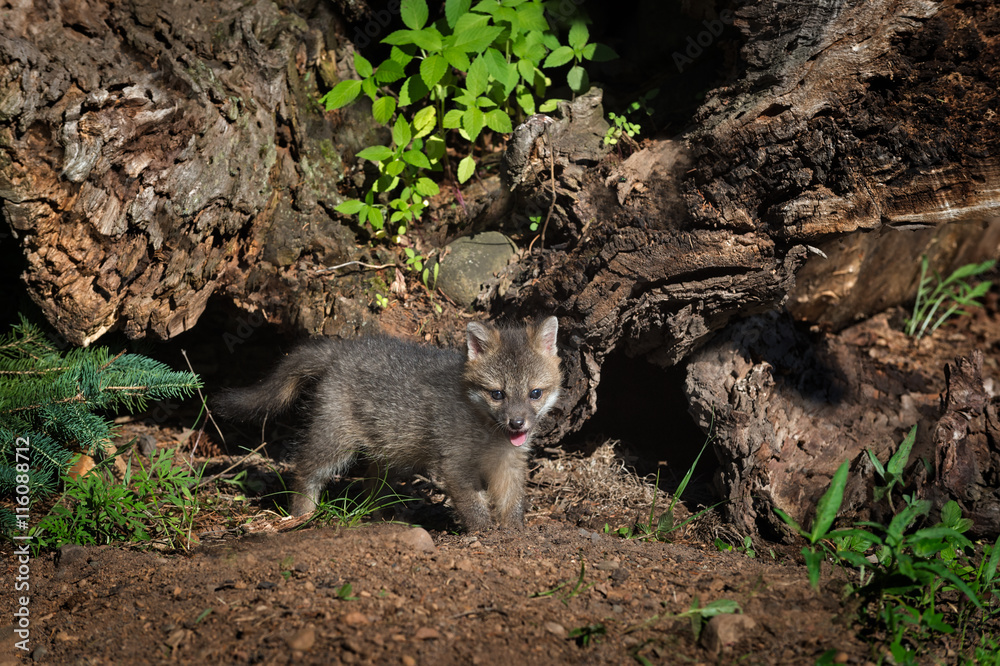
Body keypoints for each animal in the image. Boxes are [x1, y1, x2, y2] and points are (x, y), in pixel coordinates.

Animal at [213, 317, 562, 531]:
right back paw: (302, 516)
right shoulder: (455, 465)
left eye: (535, 393)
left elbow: (513, 502)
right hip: (334, 444)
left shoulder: (509, 464)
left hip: (390, 454)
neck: (489, 436)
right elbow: (474, 507)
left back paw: (378, 519)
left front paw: (514, 534)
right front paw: (485, 534)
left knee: (370, 485)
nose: (517, 423)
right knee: (304, 471)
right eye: (497, 394)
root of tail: (344, 347)